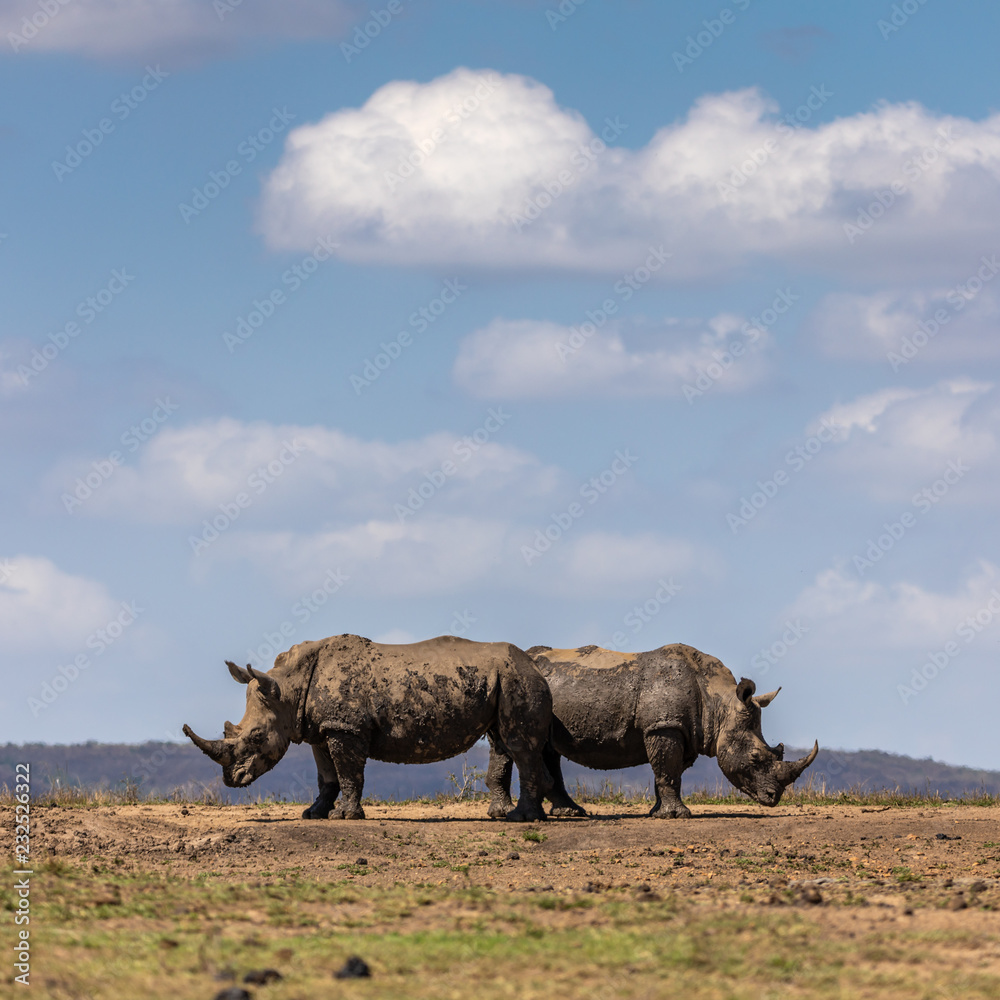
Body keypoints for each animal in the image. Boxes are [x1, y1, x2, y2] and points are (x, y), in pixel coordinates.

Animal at [183, 633, 553, 822]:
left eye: (257, 736)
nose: (231, 780)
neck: (288, 688)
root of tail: (534, 663)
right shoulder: (322, 728)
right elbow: (326, 776)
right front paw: (313, 814)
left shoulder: (345, 727)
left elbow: (348, 773)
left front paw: (346, 816)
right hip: (503, 678)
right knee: (500, 740)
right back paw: (499, 815)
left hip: (517, 678)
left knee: (518, 745)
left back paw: (523, 819)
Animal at [486, 643, 818, 819]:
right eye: (754, 759)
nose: (773, 798)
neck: (719, 703)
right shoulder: (664, 726)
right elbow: (668, 769)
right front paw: (678, 815)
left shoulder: (682, 730)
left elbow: (669, 772)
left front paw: (659, 812)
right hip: (514, 690)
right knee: (514, 744)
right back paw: (505, 814)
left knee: (546, 748)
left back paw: (570, 812)